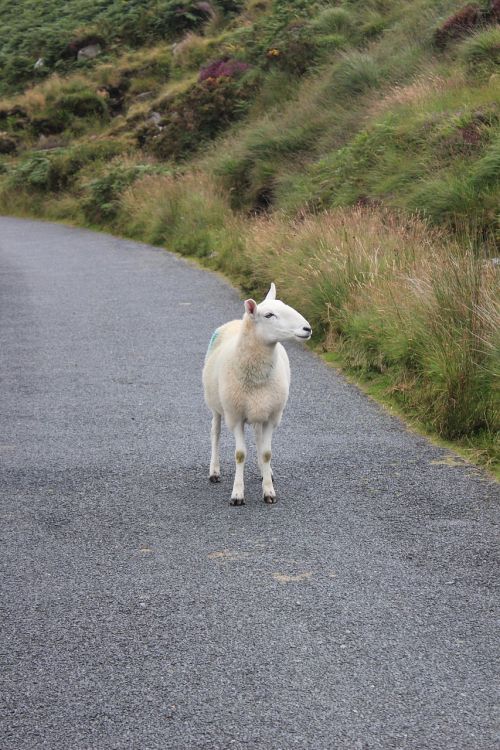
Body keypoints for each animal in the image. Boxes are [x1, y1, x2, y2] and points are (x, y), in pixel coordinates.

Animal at [201, 284, 310, 508]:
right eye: (269, 315)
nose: (308, 329)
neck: (257, 377)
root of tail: (236, 321)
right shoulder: (235, 416)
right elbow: (240, 455)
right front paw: (237, 494)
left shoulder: (272, 416)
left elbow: (266, 453)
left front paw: (268, 491)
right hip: (216, 405)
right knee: (215, 433)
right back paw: (214, 471)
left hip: (260, 409)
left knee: (259, 440)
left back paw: (264, 472)